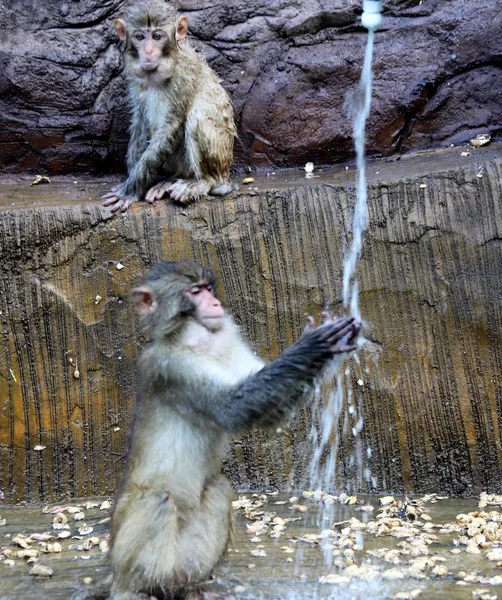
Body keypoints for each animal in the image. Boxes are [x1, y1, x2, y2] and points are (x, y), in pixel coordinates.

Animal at [102, 0, 237, 213]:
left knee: (197, 117)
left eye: (157, 36)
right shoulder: (134, 76)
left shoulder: (183, 75)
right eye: (140, 37)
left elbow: (170, 127)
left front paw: (129, 190)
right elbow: (140, 121)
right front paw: (132, 178)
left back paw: (203, 182)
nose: (148, 51)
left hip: (221, 161)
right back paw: (170, 181)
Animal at [104, 258, 358, 600]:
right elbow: (232, 406)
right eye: (194, 291)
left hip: (183, 556)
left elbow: (267, 412)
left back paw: (190, 585)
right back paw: (139, 590)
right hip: (124, 548)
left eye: (209, 289)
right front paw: (313, 344)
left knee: (218, 488)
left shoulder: (227, 339)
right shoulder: (170, 365)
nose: (215, 303)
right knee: (156, 499)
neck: (197, 340)